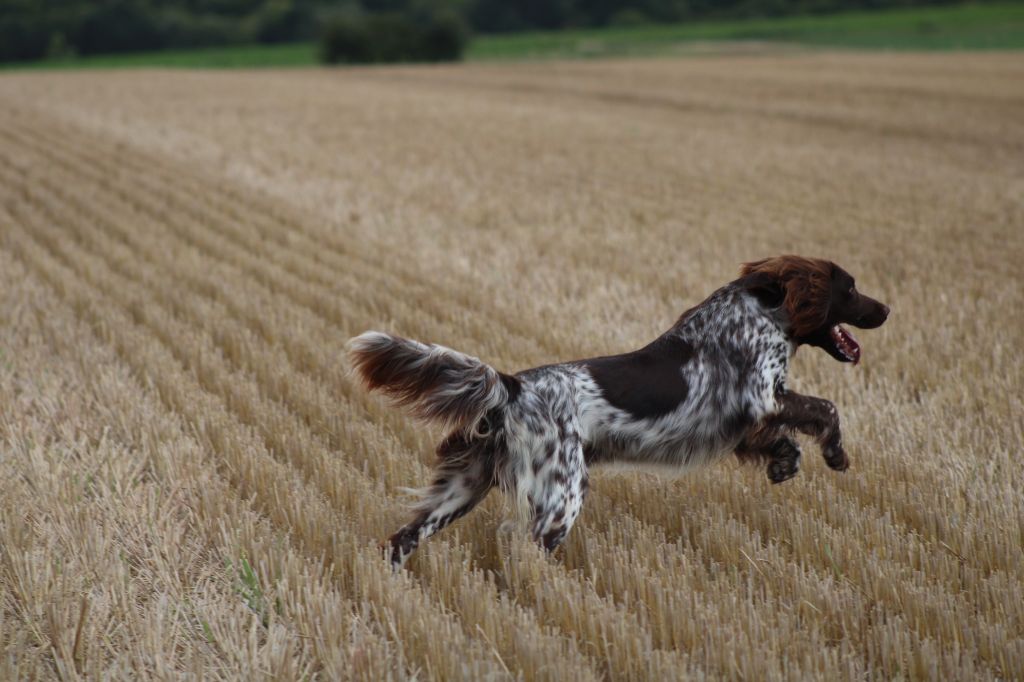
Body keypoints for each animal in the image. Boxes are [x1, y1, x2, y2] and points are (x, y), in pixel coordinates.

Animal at [346, 251, 888, 565]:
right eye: (851, 287)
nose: (886, 310)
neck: (761, 309)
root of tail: (512, 388)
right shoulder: (762, 397)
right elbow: (825, 407)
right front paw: (835, 454)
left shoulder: (746, 421)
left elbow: (780, 437)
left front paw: (784, 464)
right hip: (560, 497)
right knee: (521, 551)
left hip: (463, 487)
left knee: (402, 538)